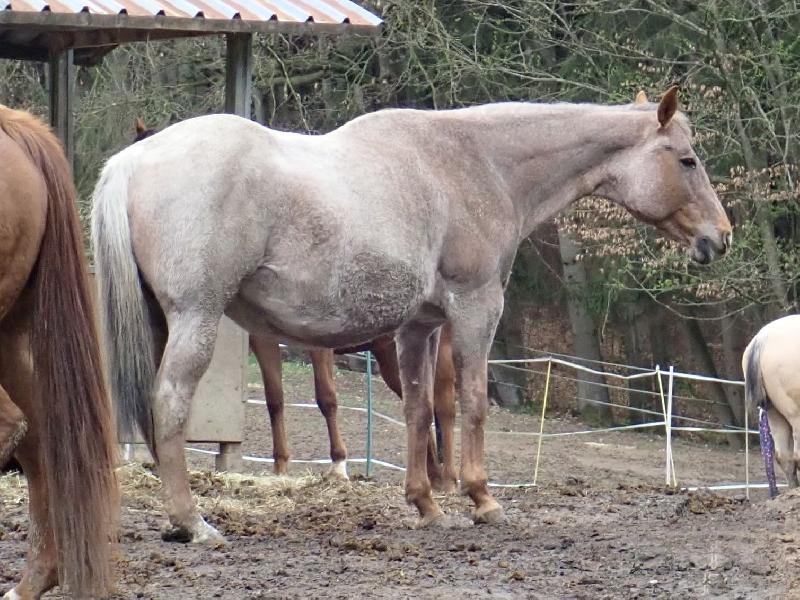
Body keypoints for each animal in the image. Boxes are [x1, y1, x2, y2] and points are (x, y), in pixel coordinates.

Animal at [135, 118, 459, 490]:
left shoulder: (320, 347)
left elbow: (327, 397)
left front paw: (338, 464)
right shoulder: (264, 343)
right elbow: (275, 399)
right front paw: (280, 466)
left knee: (444, 405)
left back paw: (448, 477)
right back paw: (433, 472)